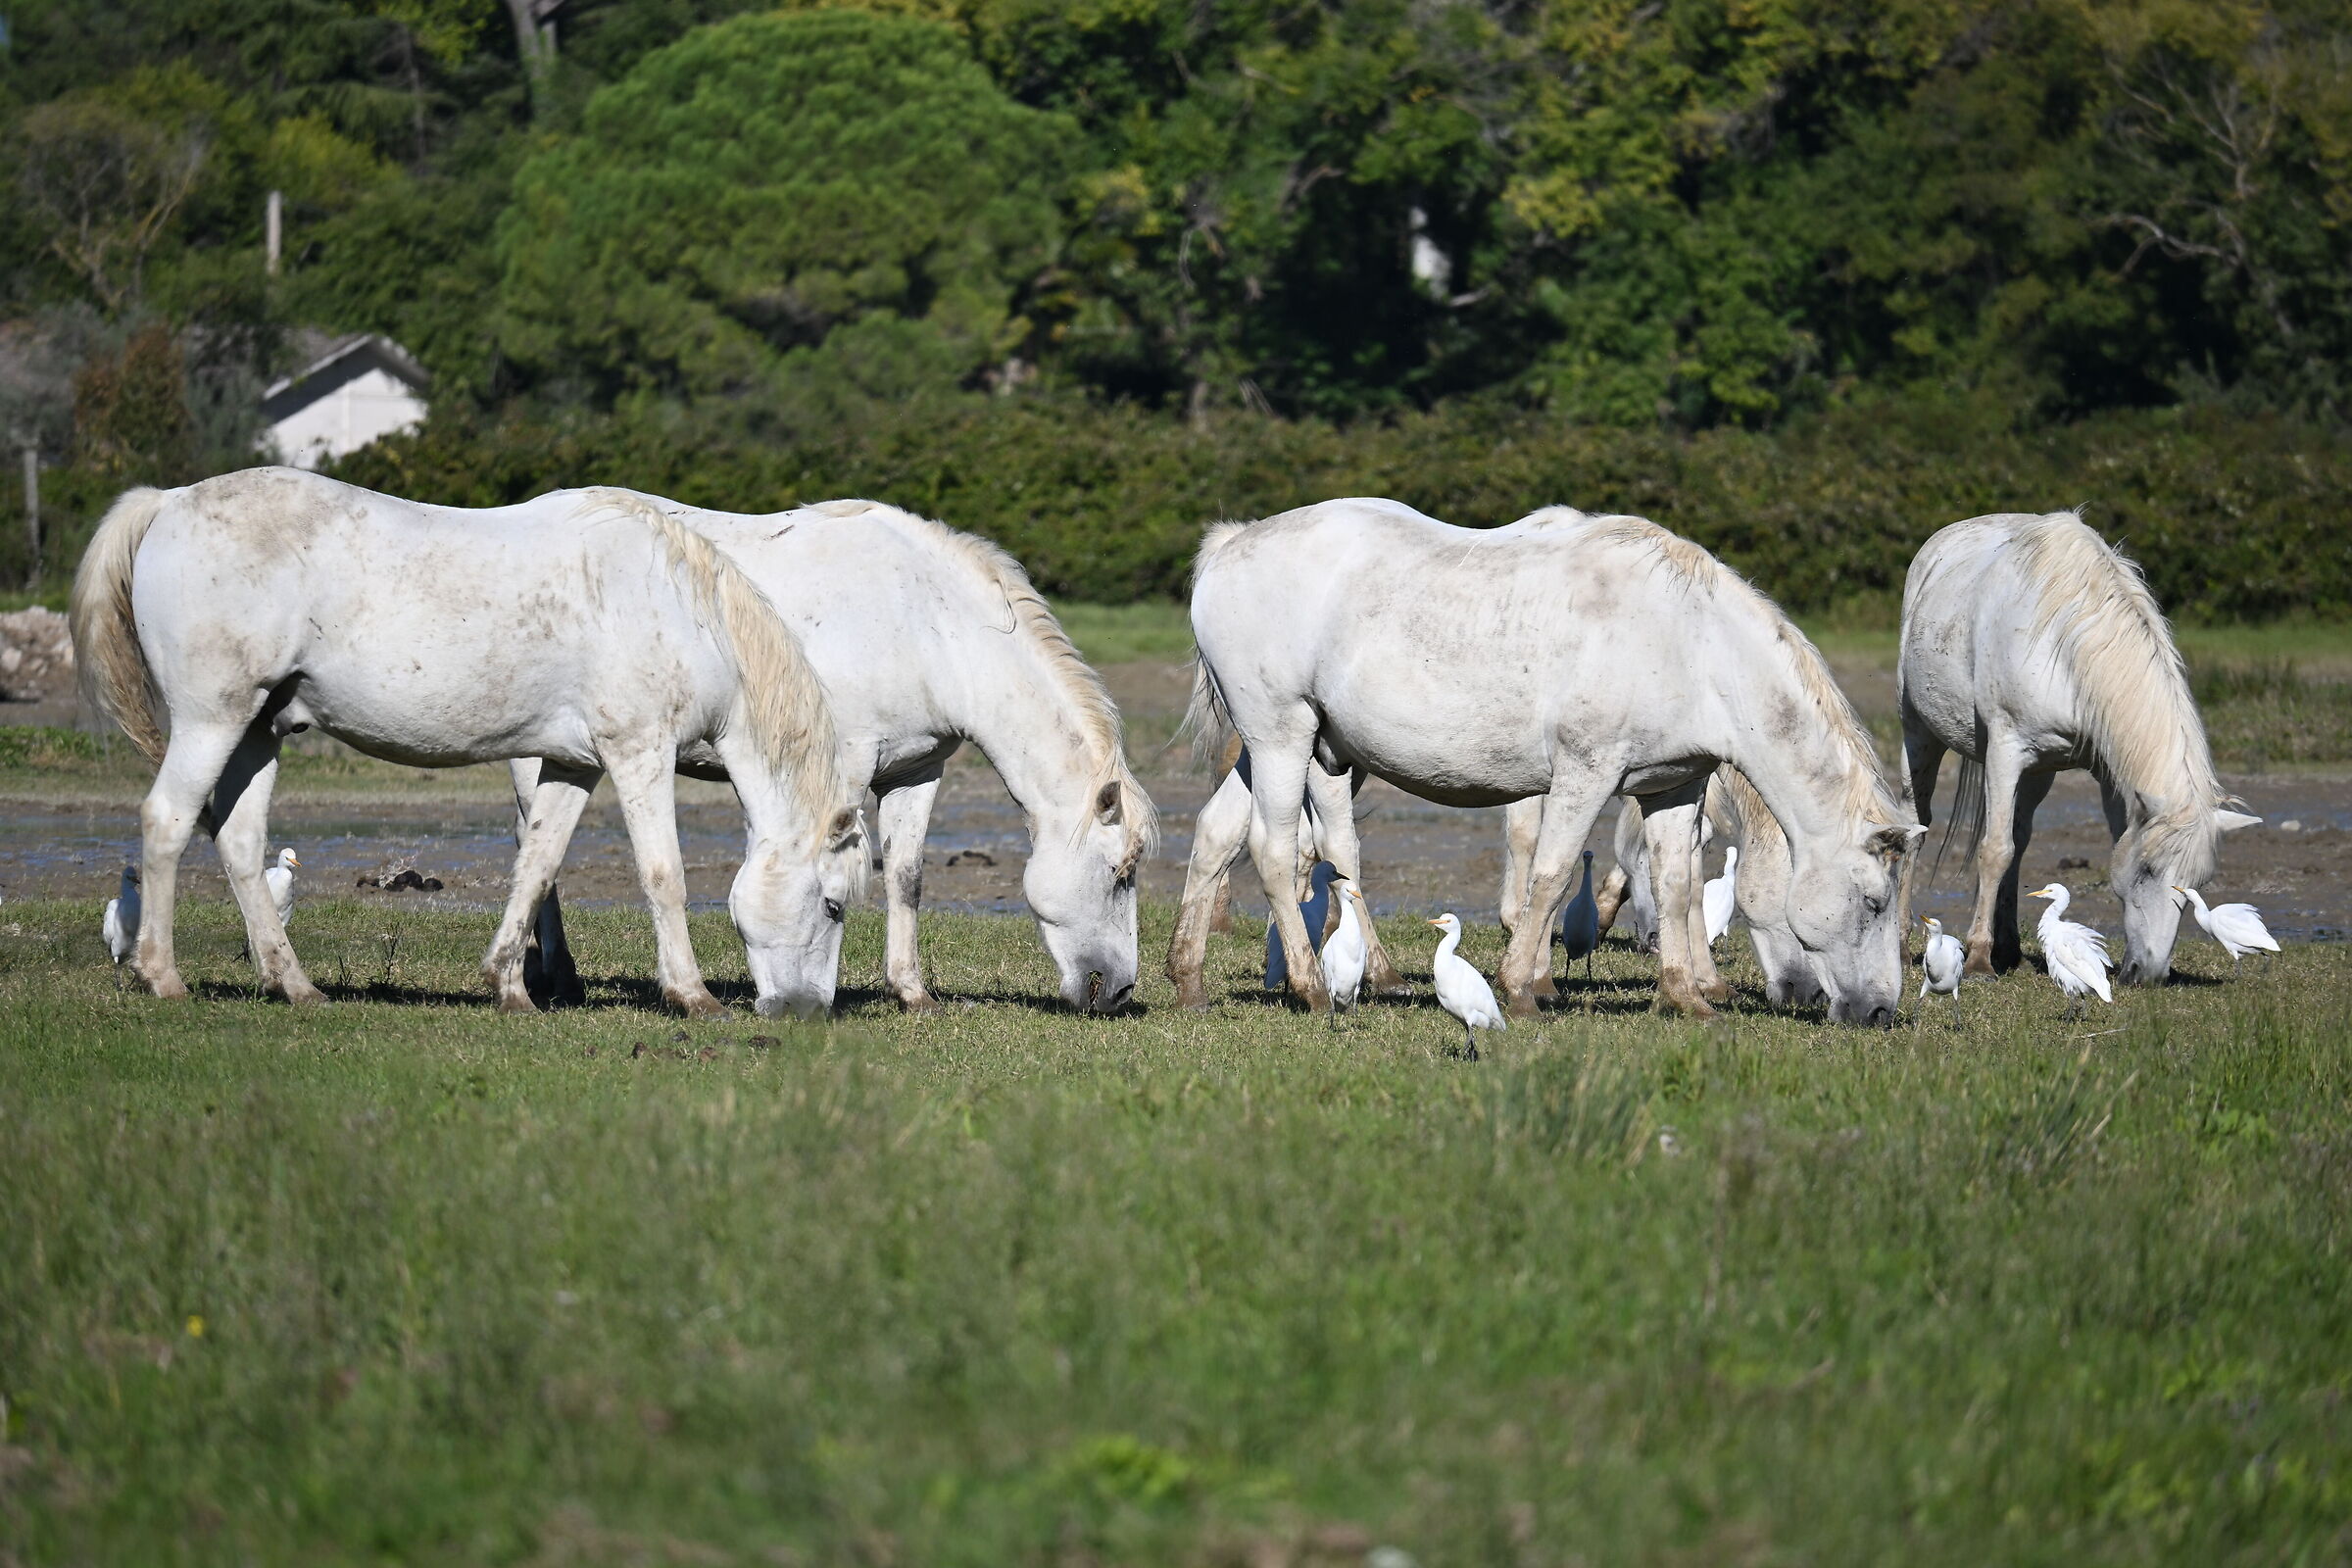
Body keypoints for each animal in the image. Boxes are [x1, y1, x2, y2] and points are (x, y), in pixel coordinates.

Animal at [69, 469, 865, 1018]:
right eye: (833, 906)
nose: (805, 1013)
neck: (678, 608)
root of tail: (168, 501)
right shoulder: (638, 753)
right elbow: (662, 874)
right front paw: (691, 994)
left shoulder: (573, 765)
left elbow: (535, 866)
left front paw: (509, 986)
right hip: (212, 720)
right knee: (168, 822)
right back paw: (163, 977)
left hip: (258, 732)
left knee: (238, 843)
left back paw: (295, 985)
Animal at [504, 496, 1154, 1015]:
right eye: (1120, 874)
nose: (1121, 991)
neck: (928, 626)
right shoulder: (844, 766)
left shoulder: (916, 770)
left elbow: (906, 878)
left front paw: (911, 992)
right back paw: (557, 978)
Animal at [1181, 499, 1922, 1025]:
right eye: (1875, 902)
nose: (1880, 1012)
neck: (1691, 644)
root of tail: (1229, 545)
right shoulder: (1585, 774)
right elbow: (1551, 873)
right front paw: (1521, 988)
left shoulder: (1673, 787)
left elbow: (1676, 885)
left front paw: (1686, 997)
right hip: (1282, 738)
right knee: (1275, 851)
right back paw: (1310, 987)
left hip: (1278, 747)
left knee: (1218, 834)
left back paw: (1186, 978)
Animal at [1897, 511, 2259, 983]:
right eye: (2148, 870)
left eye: (2199, 883)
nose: (2149, 974)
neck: (2066, 650)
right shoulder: (2005, 751)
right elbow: (1994, 851)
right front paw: (1977, 961)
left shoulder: (2107, 772)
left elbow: (2026, 846)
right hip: (1919, 731)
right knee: (1917, 824)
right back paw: (1903, 938)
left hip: (2037, 773)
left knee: (2019, 839)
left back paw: (2010, 948)